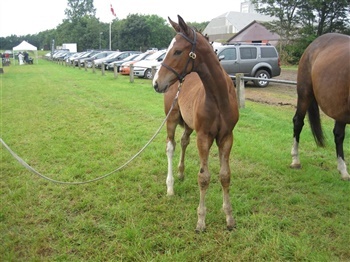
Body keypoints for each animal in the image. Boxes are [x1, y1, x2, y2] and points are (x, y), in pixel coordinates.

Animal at [152, 15, 239, 231]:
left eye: (177, 51)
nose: (156, 83)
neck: (219, 97)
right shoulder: (204, 137)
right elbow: (204, 177)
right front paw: (201, 221)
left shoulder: (227, 137)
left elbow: (225, 175)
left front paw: (229, 218)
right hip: (172, 118)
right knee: (171, 146)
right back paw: (170, 186)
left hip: (189, 125)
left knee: (184, 141)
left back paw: (181, 174)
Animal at [290, 32, 350, 180]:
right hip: (305, 94)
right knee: (298, 122)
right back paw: (295, 160)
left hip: (339, 108)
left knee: (338, 134)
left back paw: (343, 170)